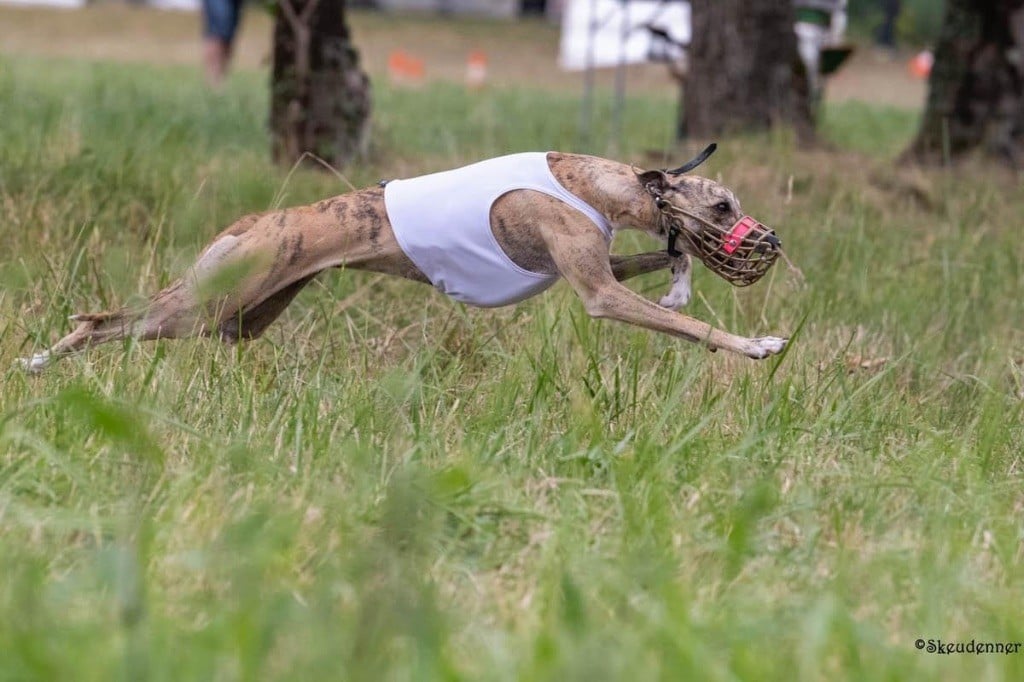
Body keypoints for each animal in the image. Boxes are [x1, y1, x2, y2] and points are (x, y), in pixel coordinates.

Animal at [19, 142, 786, 372]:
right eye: (724, 205)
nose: (771, 241)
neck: (590, 181)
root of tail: (259, 221)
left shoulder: (583, 266)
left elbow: (665, 260)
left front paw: (680, 281)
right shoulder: (596, 291)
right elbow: (688, 325)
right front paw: (756, 344)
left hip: (245, 314)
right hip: (208, 303)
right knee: (106, 321)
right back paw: (37, 362)